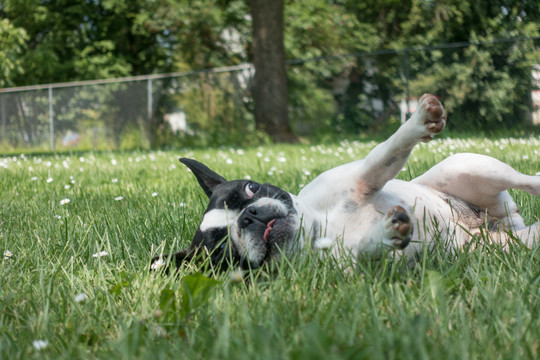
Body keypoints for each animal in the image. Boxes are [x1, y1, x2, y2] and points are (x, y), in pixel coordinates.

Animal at [152, 94, 540, 272]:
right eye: (221, 249)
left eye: (250, 188)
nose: (249, 217)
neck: (320, 228)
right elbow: (371, 248)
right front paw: (387, 231)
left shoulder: (361, 178)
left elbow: (384, 155)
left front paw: (416, 122)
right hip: (508, 244)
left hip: (467, 166)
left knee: (526, 180)